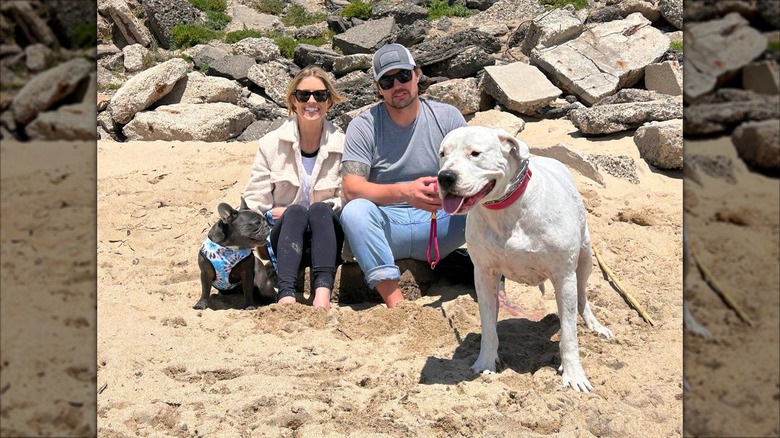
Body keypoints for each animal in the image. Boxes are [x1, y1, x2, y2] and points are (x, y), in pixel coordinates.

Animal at [436, 125, 612, 392]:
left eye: (475, 153)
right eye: (442, 154)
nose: (445, 177)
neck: (505, 209)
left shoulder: (563, 277)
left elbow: (569, 334)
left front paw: (574, 374)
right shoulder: (484, 274)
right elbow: (488, 325)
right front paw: (486, 362)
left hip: (585, 257)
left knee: (581, 295)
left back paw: (594, 324)